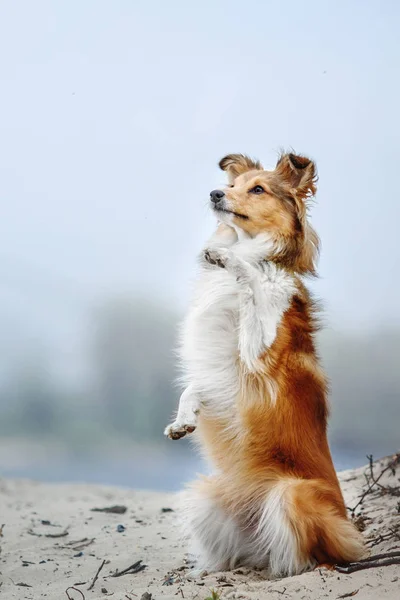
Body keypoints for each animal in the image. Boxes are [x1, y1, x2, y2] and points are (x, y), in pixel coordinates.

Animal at [163, 152, 366, 576]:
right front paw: (183, 420)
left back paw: (287, 569)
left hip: (292, 492)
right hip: (208, 495)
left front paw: (231, 260)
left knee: (306, 554)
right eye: (234, 185)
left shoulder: (258, 354)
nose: (215, 192)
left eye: (257, 189)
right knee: (246, 552)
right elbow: (195, 385)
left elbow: (251, 282)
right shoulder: (224, 373)